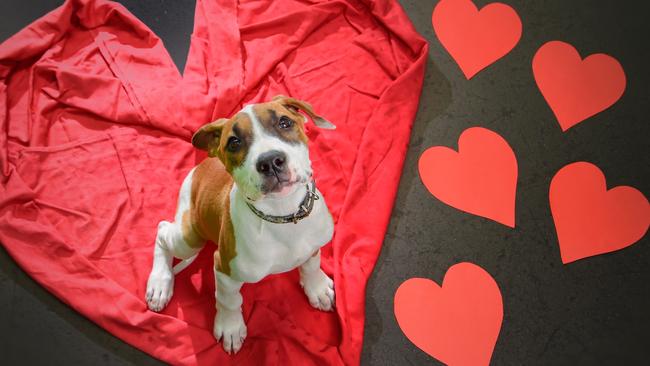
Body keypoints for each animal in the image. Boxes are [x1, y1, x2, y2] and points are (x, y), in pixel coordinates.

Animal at [142, 96, 334, 354]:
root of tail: (202, 165)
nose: (270, 161)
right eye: (234, 142)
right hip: (189, 235)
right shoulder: (224, 268)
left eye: (284, 122)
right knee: (163, 229)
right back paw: (160, 284)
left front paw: (317, 287)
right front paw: (230, 327)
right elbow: (229, 300)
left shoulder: (312, 245)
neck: (282, 214)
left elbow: (311, 264)